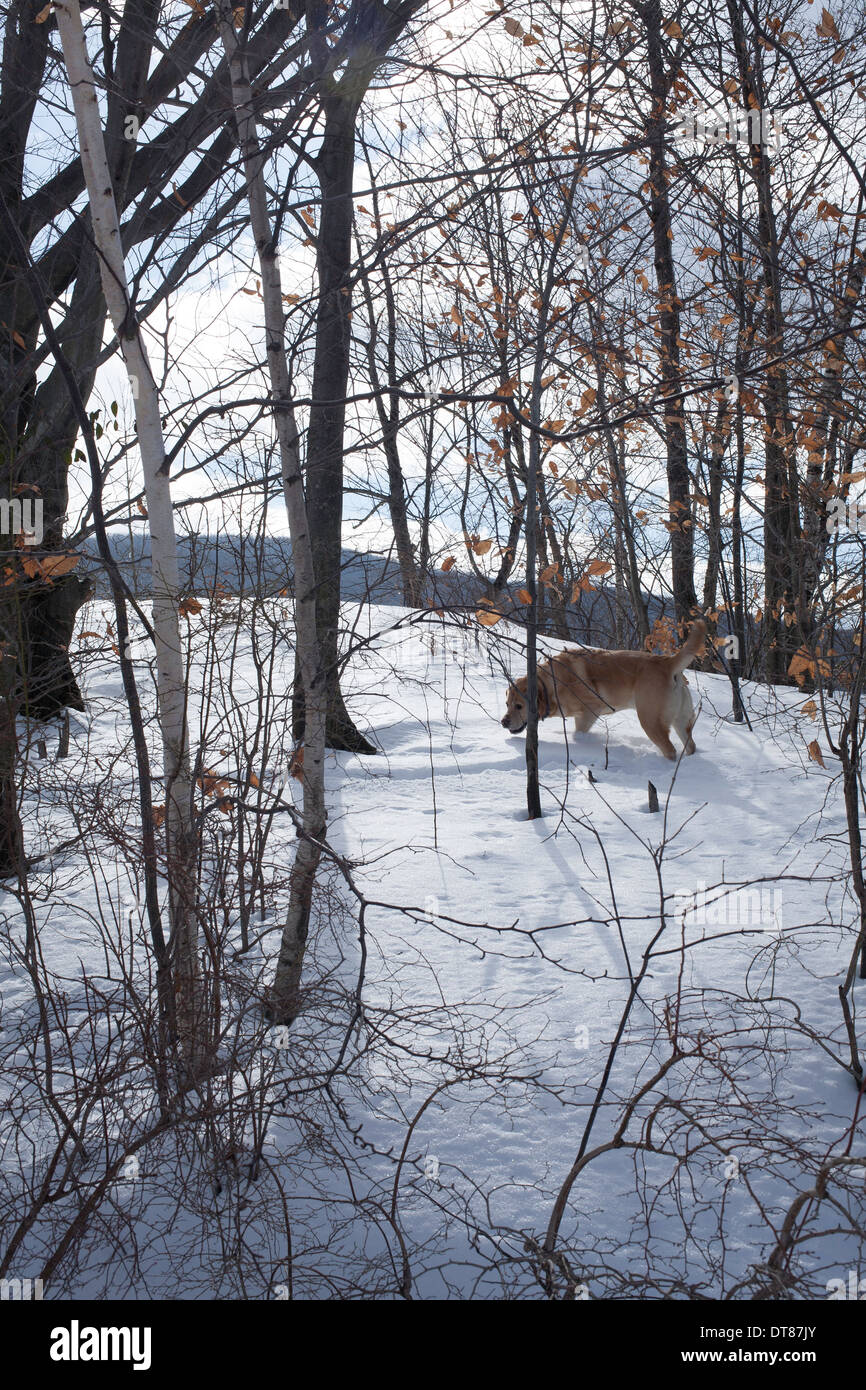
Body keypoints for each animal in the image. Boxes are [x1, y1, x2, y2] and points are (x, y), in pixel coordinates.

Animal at [500, 619, 706, 761]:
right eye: (507, 704)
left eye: (519, 706)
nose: (503, 722)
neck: (552, 683)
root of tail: (667, 662)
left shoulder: (590, 710)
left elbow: (579, 732)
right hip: (680, 722)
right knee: (690, 746)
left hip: (650, 720)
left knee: (670, 750)